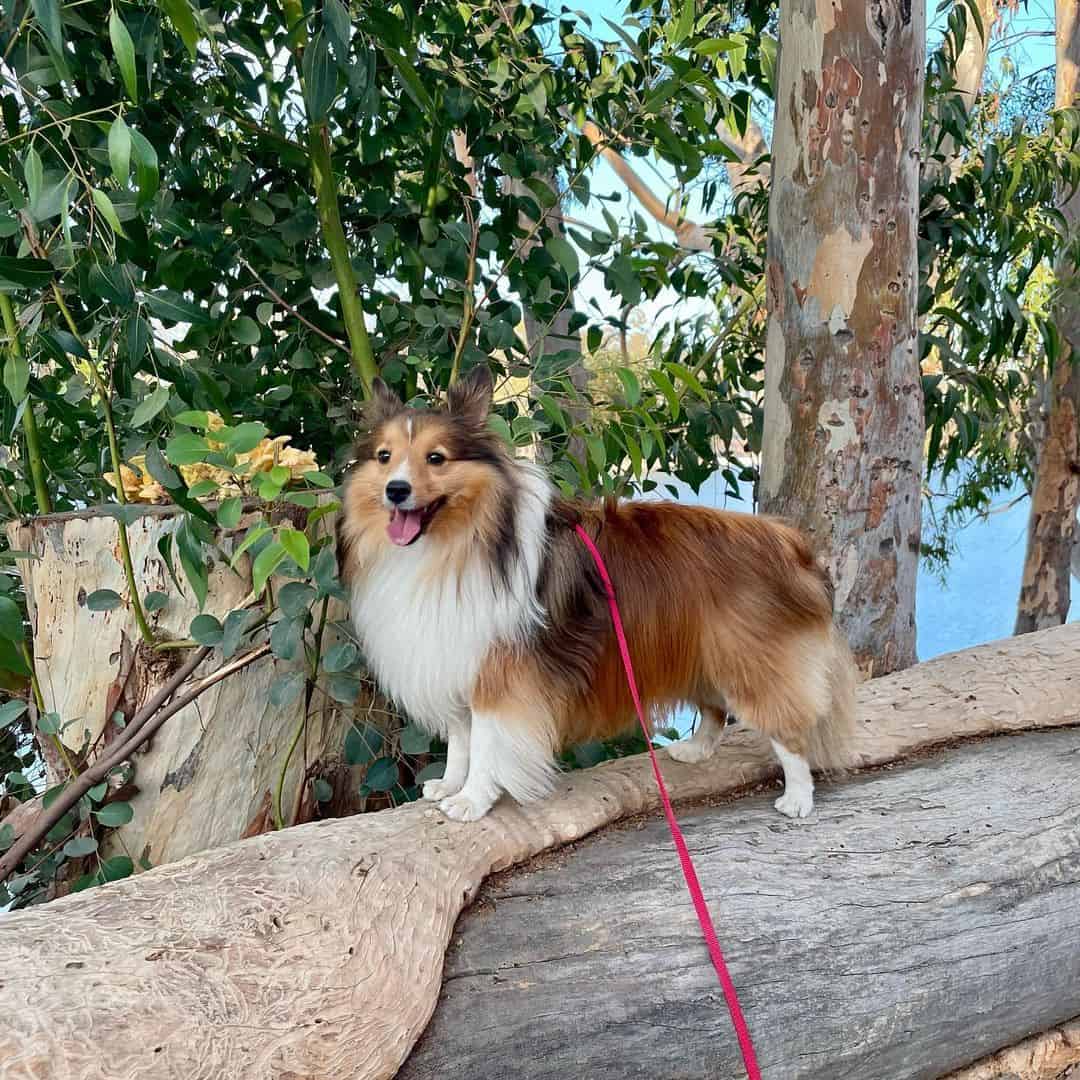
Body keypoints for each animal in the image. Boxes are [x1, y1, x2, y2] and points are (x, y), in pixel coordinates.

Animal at [336, 367, 851, 820]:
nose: (395, 490)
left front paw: (472, 801)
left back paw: (798, 798)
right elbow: (462, 740)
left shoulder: (499, 675)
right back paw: (697, 750)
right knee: (714, 707)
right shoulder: (456, 659)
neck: (458, 542)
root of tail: (790, 541)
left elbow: (485, 745)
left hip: (749, 659)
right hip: (702, 648)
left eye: (436, 458)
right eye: (384, 456)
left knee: (789, 731)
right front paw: (450, 785)